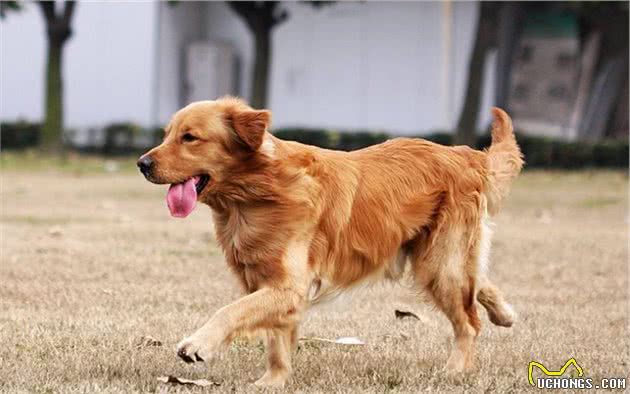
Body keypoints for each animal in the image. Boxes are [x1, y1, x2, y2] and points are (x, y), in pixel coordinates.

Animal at [139, 97, 528, 386]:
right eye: (168, 134)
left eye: (190, 137)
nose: (142, 163)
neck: (255, 193)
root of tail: (465, 154)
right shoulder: (273, 285)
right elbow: (277, 342)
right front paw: (272, 382)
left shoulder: (287, 286)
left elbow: (231, 310)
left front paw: (197, 344)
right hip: (436, 257)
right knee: (478, 283)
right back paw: (504, 313)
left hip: (438, 264)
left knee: (469, 323)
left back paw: (455, 370)